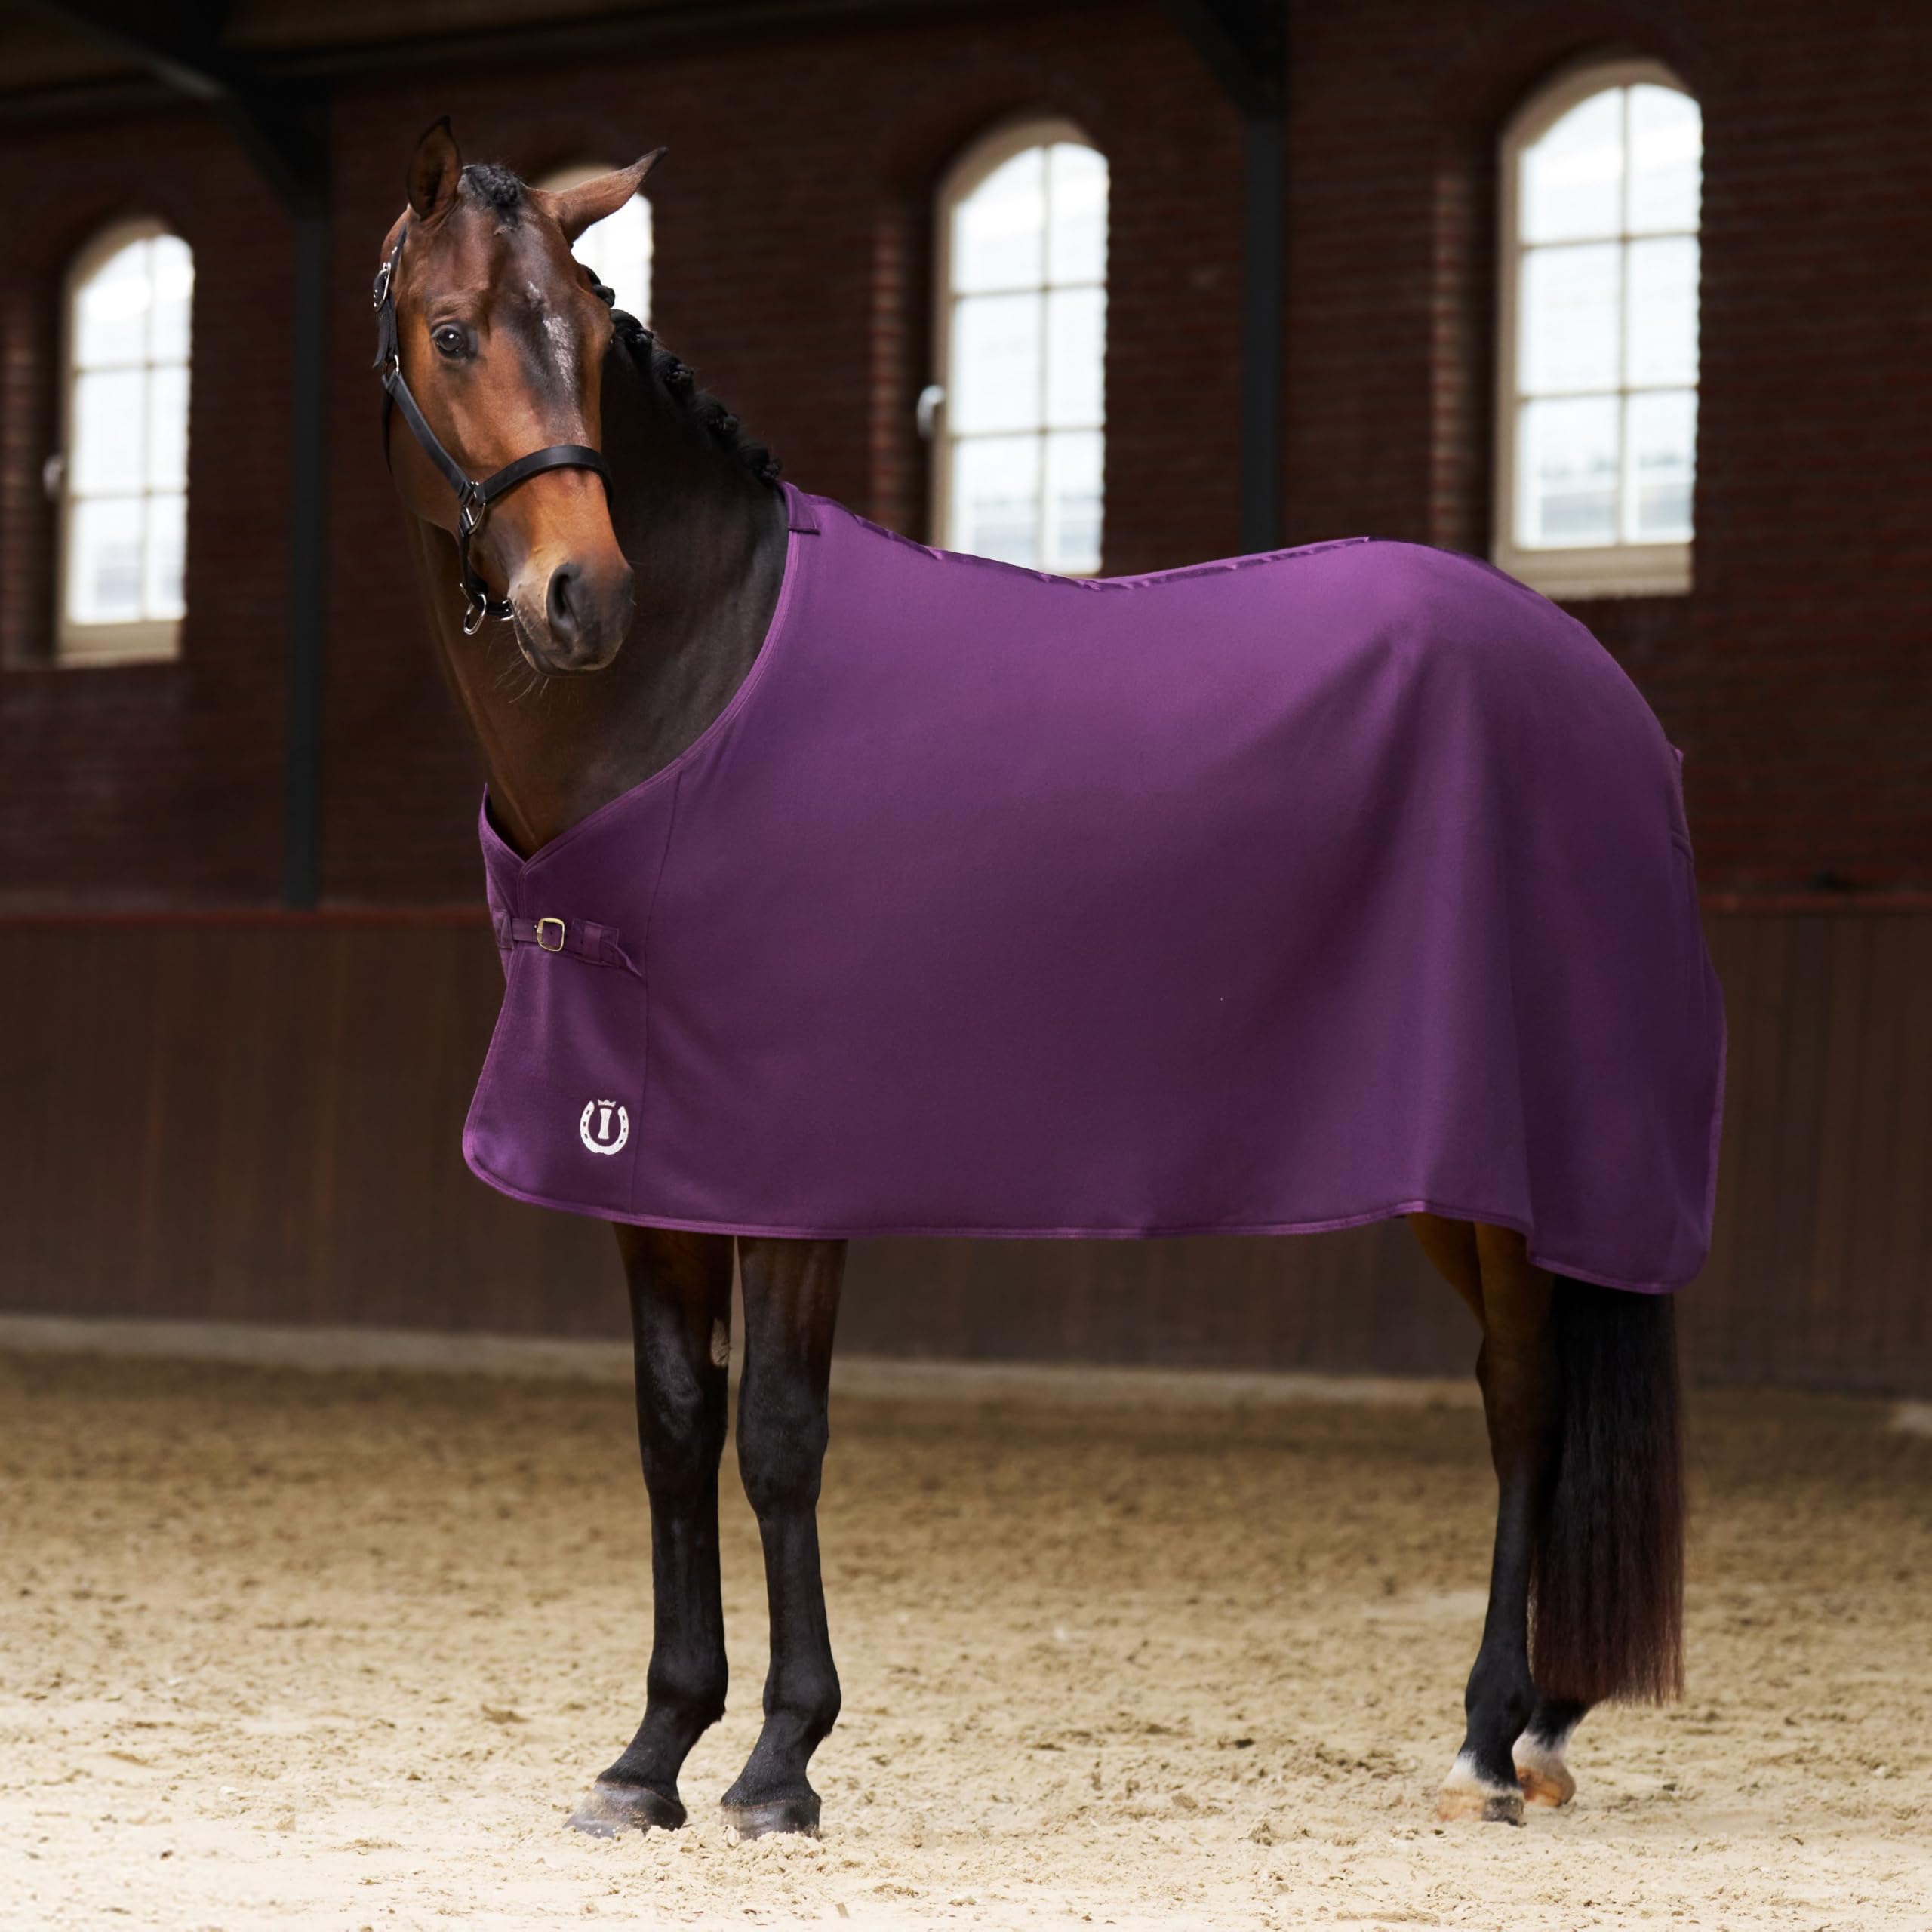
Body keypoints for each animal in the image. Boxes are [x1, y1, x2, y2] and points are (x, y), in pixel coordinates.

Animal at [374, 117, 1698, 1839]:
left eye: (589, 342)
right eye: (454, 331)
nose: (580, 596)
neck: (693, 697)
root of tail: (1600, 690)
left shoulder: (793, 1172)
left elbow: (777, 1436)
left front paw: (780, 1763)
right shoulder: (642, 1166)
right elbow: (674, 1432)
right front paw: (651, 1754)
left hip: (1504, 1168)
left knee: (1529, 1396)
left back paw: (1490, 1731)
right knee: (1519, 1388)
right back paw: (1535, 1720)